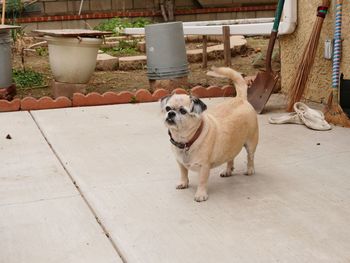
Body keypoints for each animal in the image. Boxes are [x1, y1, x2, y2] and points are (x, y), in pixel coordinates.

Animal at [161, 67, 258, 202]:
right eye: (167, 108)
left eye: (183, 111)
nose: (171, 113)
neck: (186, 140)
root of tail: (241, 99)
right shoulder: (180, 163)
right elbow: (183, 173)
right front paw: (183, 183)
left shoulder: (204, 167)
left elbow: (202, 181)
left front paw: (201, 194)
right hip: (230, 146)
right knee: (230, 157)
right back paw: (228, 171)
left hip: (251, 144)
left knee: (250, 157)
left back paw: (249, 170)